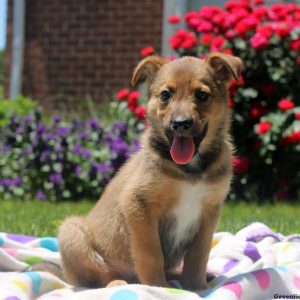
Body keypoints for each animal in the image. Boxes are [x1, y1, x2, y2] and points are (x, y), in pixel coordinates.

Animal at [57, 52, 243, 290]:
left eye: (202, 95)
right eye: (165, 95)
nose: (180, 124)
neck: (190, 170)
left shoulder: (209, 211)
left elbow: (198, 255)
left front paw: (197, 287)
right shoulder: (138, 203)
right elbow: (151, 253)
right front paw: (157, 287)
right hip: (71, 233)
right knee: (102, 275)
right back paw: (119, 283)